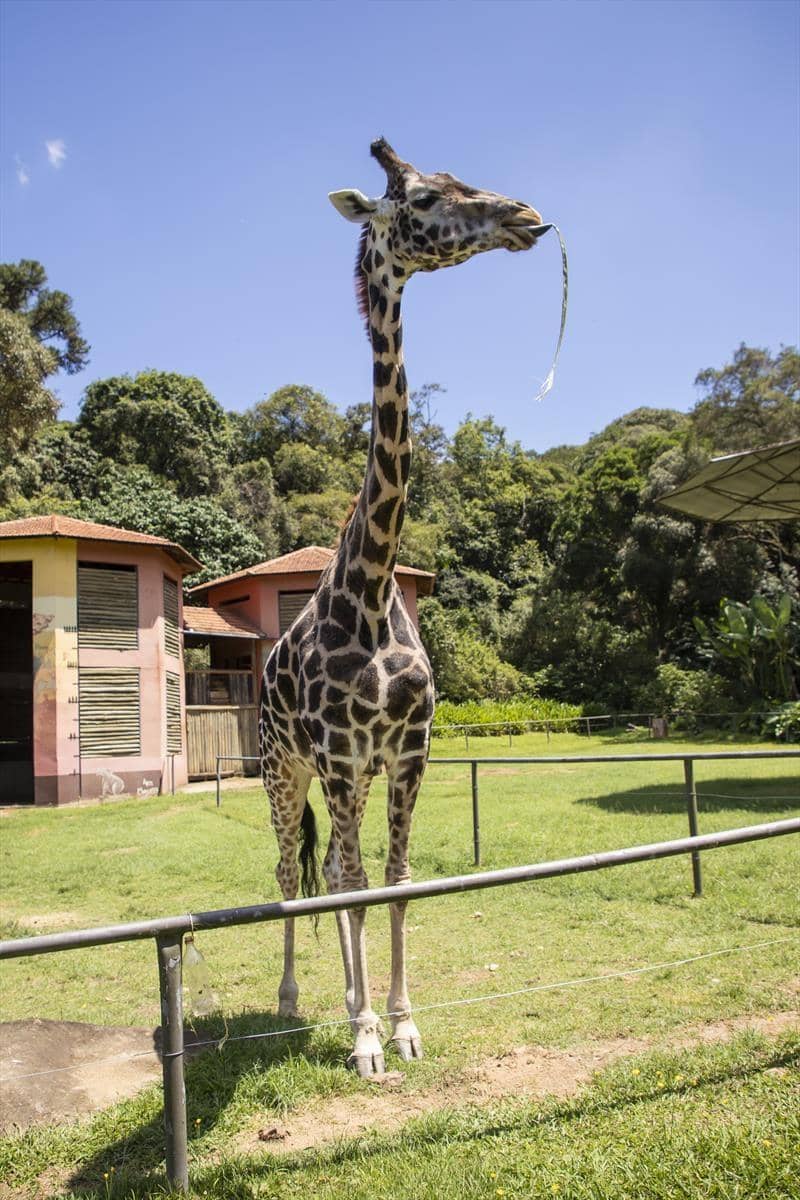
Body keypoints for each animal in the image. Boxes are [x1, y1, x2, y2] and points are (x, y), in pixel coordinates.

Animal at [259, 139, 546, 1077]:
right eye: (420, 197)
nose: (527, 216)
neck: (375, 583)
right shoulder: (344, 756)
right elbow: (346, 884)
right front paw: (361, 1036)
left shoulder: (409, 753)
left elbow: (395, 881)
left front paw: (403, 1023)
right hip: (283, 767)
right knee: (293, 874)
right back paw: (294, 1002)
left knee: (330, 871)